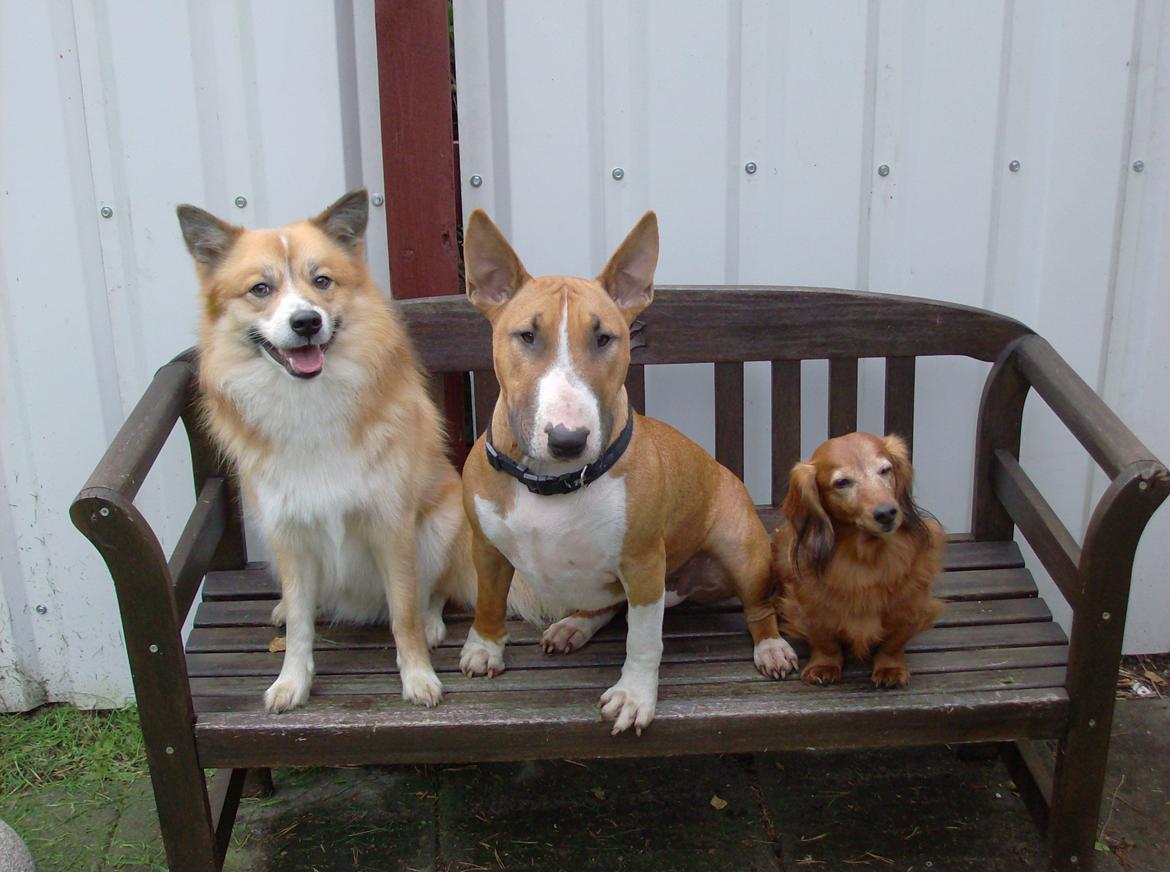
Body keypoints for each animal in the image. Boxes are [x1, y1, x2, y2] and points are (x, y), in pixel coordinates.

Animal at [175, 191, 472, 716]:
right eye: (260, 288)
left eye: (322, 281)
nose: (307, 321)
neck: (308, 405)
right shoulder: (288, 532)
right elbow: (299, 627)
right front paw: (292, 682)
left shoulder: (391, 525)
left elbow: (404, 612)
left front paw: (418, 676)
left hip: (441, 521)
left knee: (433, 590)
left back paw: (433, 622)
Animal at [772, 430, 945, 688]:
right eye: (842, 482)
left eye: (885, 470)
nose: (886, 513)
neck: (865, 557)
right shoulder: (809, 608)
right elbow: (824, 641)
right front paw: (825, 665)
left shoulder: (910, 607)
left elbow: (894, 643)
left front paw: (890, 668)